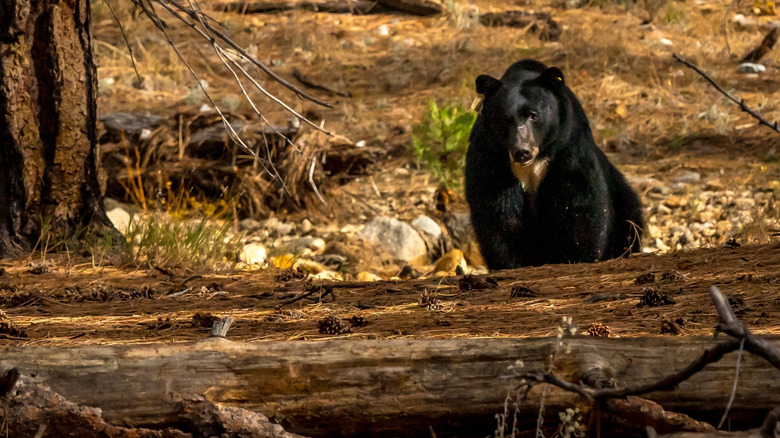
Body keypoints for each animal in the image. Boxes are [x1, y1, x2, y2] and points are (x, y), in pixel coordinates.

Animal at [465, 59, 644, 270]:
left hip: (624, 199)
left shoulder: (569, 145)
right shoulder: (490, 154)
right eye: (504, 119)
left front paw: (577, 257)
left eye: (534, 115)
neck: (534, 161)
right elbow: (499, 210)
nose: (522, 151)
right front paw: (512, 263)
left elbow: (579, 200)